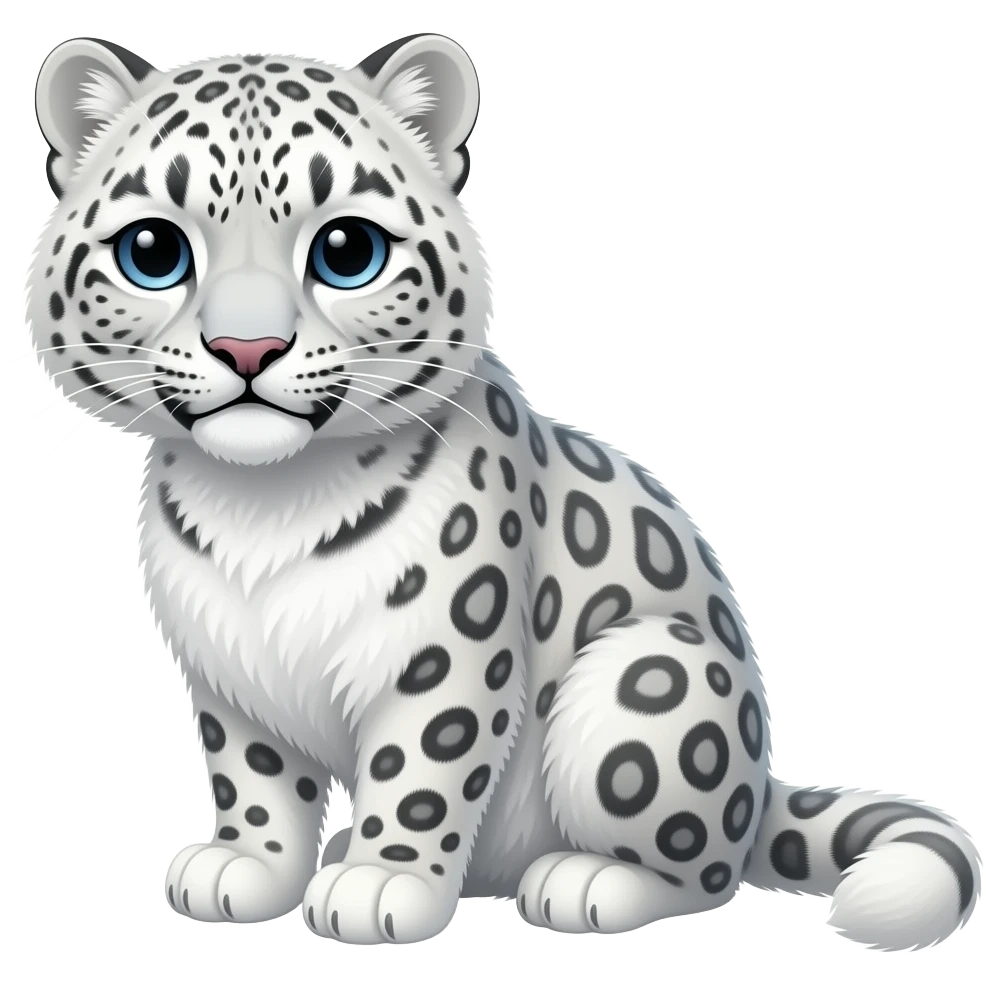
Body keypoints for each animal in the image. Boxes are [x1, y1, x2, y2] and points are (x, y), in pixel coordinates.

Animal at [26, 34, 983, 950]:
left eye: (347, 251)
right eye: (153, 251)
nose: (248, 349)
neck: (264, 505)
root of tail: (762, 778)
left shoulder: (446, 648)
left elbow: (420, 773)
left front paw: (382, 885)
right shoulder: (227, 675)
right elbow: (254, 779)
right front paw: (248, 868)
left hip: (647, 680)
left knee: (709, 867)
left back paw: (584, 883)